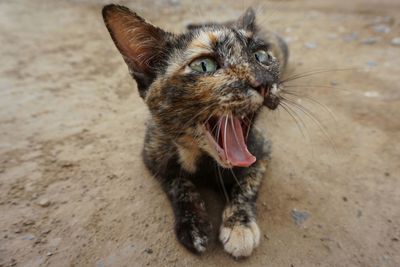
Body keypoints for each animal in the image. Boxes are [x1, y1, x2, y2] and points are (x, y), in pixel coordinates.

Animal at [101, 4, 288, 258]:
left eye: (261, 56)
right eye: (204, 65)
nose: (265, 82)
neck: (204, 160)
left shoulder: (262, 150)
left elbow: (246, 185)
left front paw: (239, 225)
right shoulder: (152, 153)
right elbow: (179, 183)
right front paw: (194, 225)